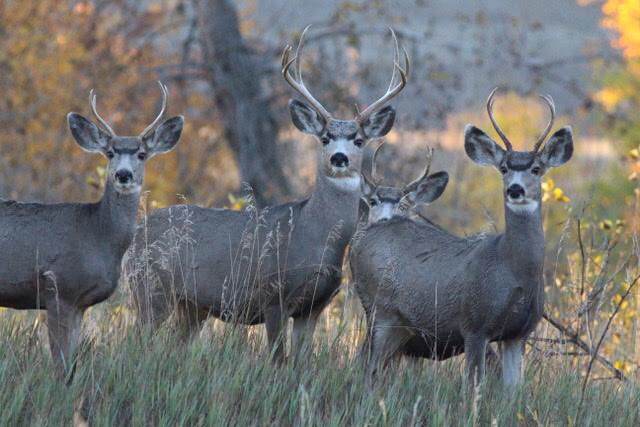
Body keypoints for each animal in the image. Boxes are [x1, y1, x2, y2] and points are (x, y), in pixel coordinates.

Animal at [0, 82, 183, 380]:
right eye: (109, 152)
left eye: (141, 154)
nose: (123, 174)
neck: (98, 236)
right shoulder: (59, 288)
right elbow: (60, 366)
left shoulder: (79, 304)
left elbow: (71, 364)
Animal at [127, 26, 409, 362]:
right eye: (325, 137)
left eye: (358, 140)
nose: (339, 158)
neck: (313, 236)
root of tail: (136, 233)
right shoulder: (273, 296)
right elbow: (277, 359)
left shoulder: (314, 306)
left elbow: (300, 361)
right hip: (151, 288)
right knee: (137, 340)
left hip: (192, 305)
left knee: (174, 343)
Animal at [350, 88, 573, 390]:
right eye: (503, 168)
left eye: (537, 169)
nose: (515, 189)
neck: (514, 270)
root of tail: (365, 236)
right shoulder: (475, 325)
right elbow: (473, 387)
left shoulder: (518, 334)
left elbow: (513, 391)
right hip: (378, 309)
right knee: (367, 366)